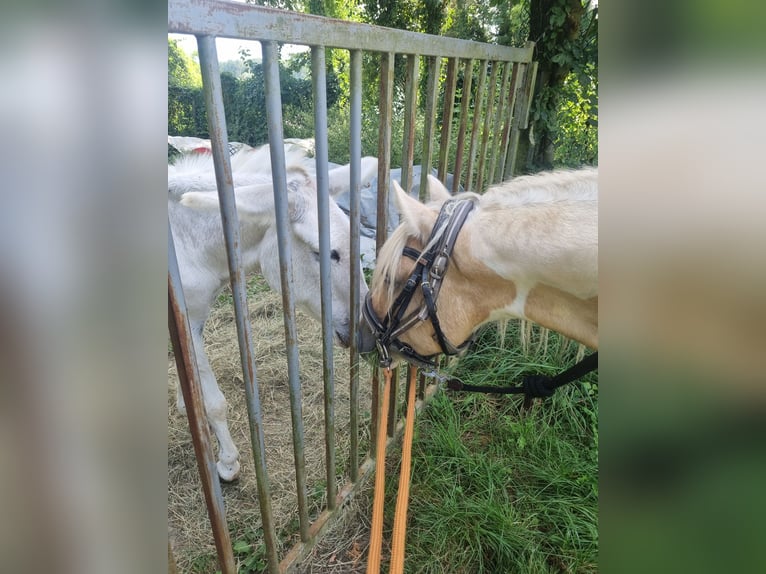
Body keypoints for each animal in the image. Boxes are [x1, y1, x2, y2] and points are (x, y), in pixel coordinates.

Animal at [172, 144, 380, 482]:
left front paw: (184, 404)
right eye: (322, 253)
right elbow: (214, 402)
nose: (369, 337)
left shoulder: (190, 317)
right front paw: (227, 463)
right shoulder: (188, 318)